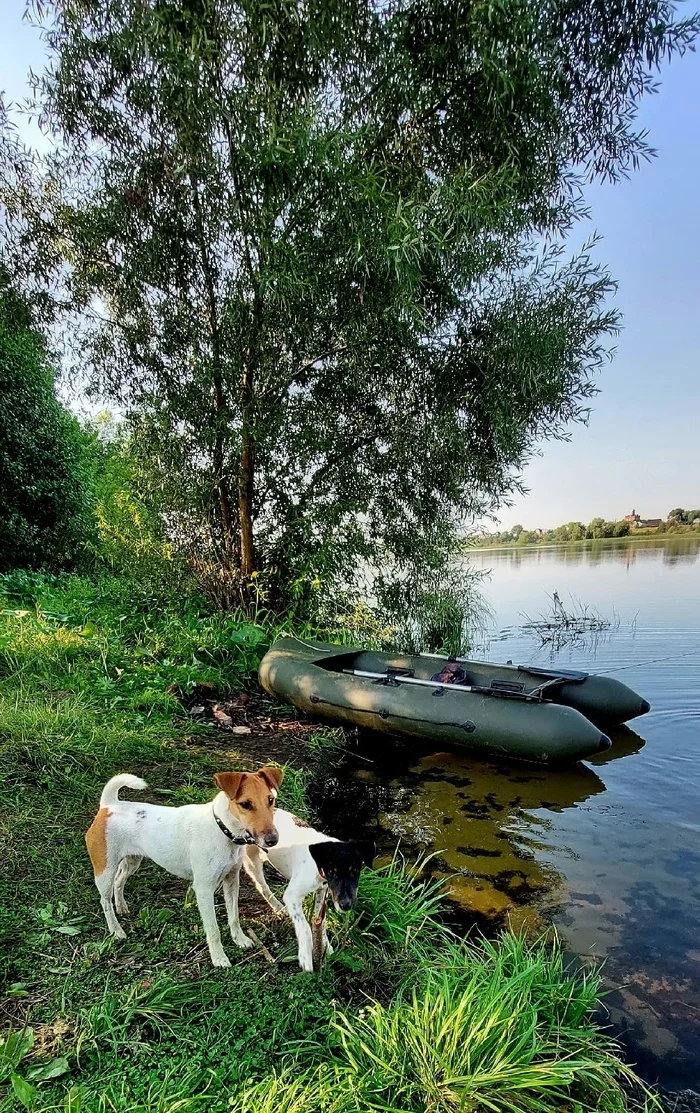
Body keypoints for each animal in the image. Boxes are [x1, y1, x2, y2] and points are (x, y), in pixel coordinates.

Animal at [86, 765, 282, 966]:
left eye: (270, 799)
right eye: (245, 804)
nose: (272, 840)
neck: (222, 830)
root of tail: (109, 806)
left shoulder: (231, 881)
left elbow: (234, 916)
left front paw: (240, 939)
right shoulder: (204, 890)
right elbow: (213, 929)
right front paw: (219, 958)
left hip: (132, 862)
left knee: (119, 882)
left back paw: (121, 907)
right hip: (105, 871)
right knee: (105, 900)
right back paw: (116, 930)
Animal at [245, 810, 376, 974]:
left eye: (355, 871)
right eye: (332, 872)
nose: (346, 905)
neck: (317, 866)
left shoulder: (322, 891)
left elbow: (322, 921)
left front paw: (326, 947)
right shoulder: (292, 896)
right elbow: (305, 926)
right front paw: (305, 956)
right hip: (251, 861)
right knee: (262, 886)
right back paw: (277, 907)